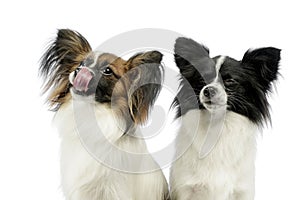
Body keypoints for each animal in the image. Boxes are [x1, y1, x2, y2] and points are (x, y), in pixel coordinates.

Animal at [170, 36, 280, 199]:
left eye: (230, 81)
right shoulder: (185, 190)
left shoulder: (242, 191)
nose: (208, 90)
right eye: (202, 79)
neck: (217, 126)